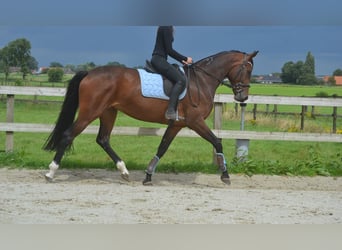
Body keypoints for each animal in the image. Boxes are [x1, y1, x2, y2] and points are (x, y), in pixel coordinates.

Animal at [43, 49, 256, 185]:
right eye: (248, 69)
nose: (243, 97)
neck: (201, 81)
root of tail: (89, 73)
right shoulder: (195, 121)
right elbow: (217, 142)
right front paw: (225, 175)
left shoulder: (177, 124)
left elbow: (162, 147)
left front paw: (148, 175)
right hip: (90, 112)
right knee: (68, 135)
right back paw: (51, 172)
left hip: (108, 112)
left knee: (103, 139)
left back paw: (124, 171)